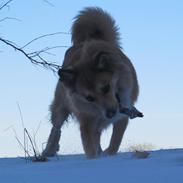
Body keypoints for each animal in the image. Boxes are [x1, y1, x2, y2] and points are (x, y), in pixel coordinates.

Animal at [42, 7, 139, 159]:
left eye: (106, 88)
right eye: (89, 98)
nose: (110, 114)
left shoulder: (122, 118)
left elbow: (115, 143)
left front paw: (107, 155)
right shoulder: (87, 122)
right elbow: (90, 148)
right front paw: (94, 159)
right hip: (59, 109)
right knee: (56, 128)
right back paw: (49, 150)